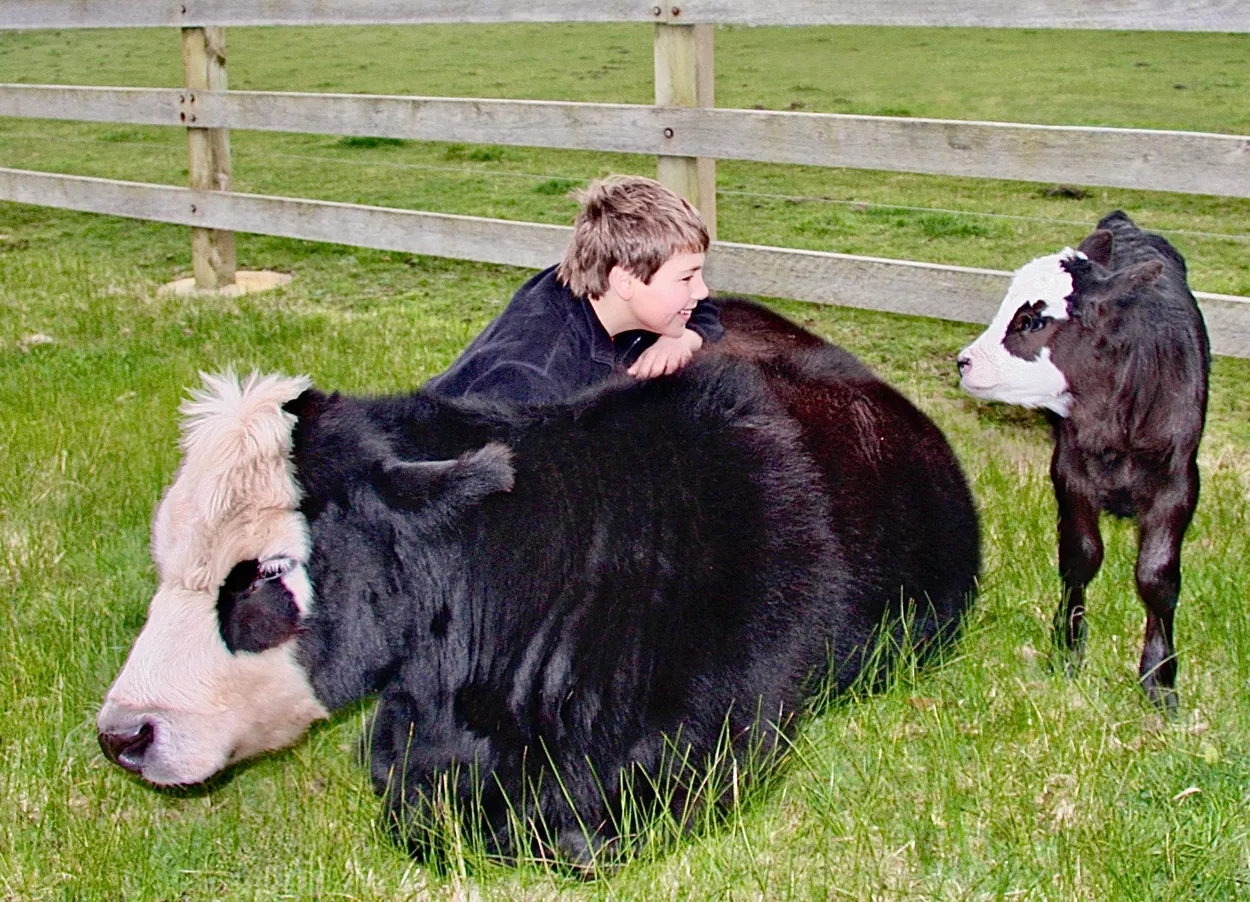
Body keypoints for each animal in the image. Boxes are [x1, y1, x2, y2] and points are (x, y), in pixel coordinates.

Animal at [957, 212, 1209, 711]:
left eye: (1032, 319)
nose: (964, 362)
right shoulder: (1069, 470)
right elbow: (1080, 557)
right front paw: (1067, 652)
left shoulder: (1178, 483)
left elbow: (1157, 576)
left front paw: (1160, 679)